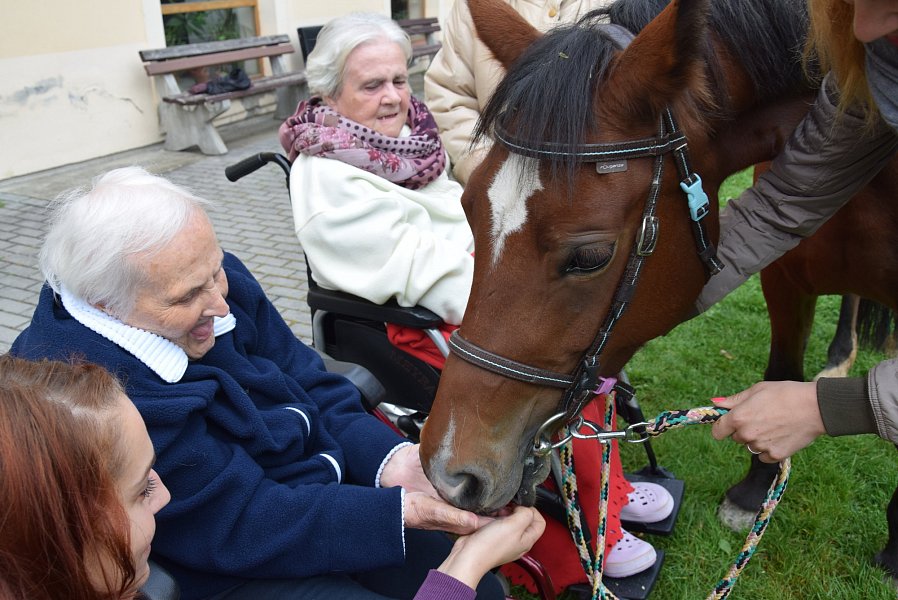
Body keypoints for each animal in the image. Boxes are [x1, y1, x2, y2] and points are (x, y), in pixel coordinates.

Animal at [420, 0, 898, 580]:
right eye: (468, 208)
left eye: (590, 257)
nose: (448, 472)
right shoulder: (781, 273)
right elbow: (782, 370)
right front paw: (756, 489)